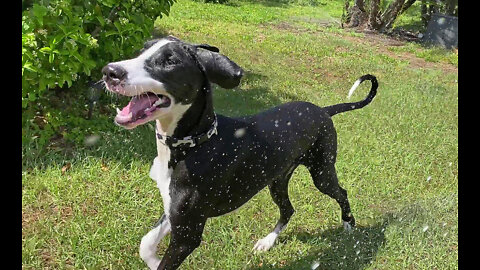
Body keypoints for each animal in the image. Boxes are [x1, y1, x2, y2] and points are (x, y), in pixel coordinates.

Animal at [102, 34, 378, 268]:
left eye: (170, 61)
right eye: (142, 50)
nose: (109, 72)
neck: (195, 144)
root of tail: (323, 110)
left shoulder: (187, 235)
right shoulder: (173, 211)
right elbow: (146, 244)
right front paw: (153, 260)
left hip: (322, 172)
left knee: (341, 192)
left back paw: (349, 225)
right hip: (278, 180)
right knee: (288, 209)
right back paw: (267, 241)